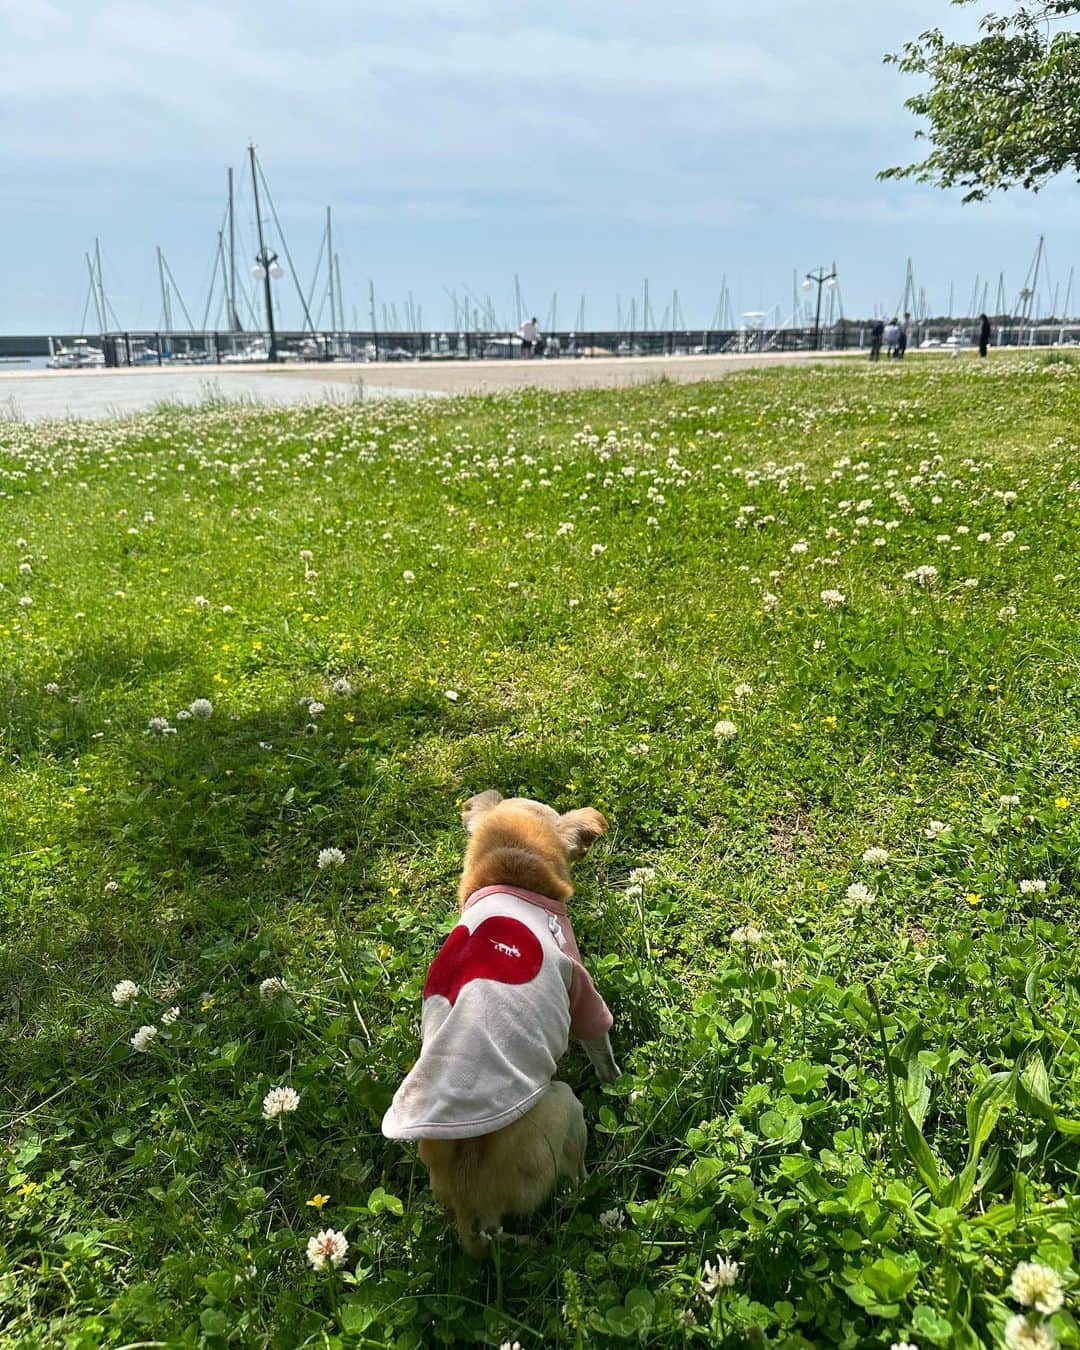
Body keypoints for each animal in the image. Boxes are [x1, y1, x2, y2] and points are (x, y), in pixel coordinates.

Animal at [380, 788, 621, 1252]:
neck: (510, 873)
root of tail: (471, 1202)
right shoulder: (580, 988)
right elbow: (601, 1048)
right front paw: (620, 1084)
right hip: (565, 1106)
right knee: (574, 1183)